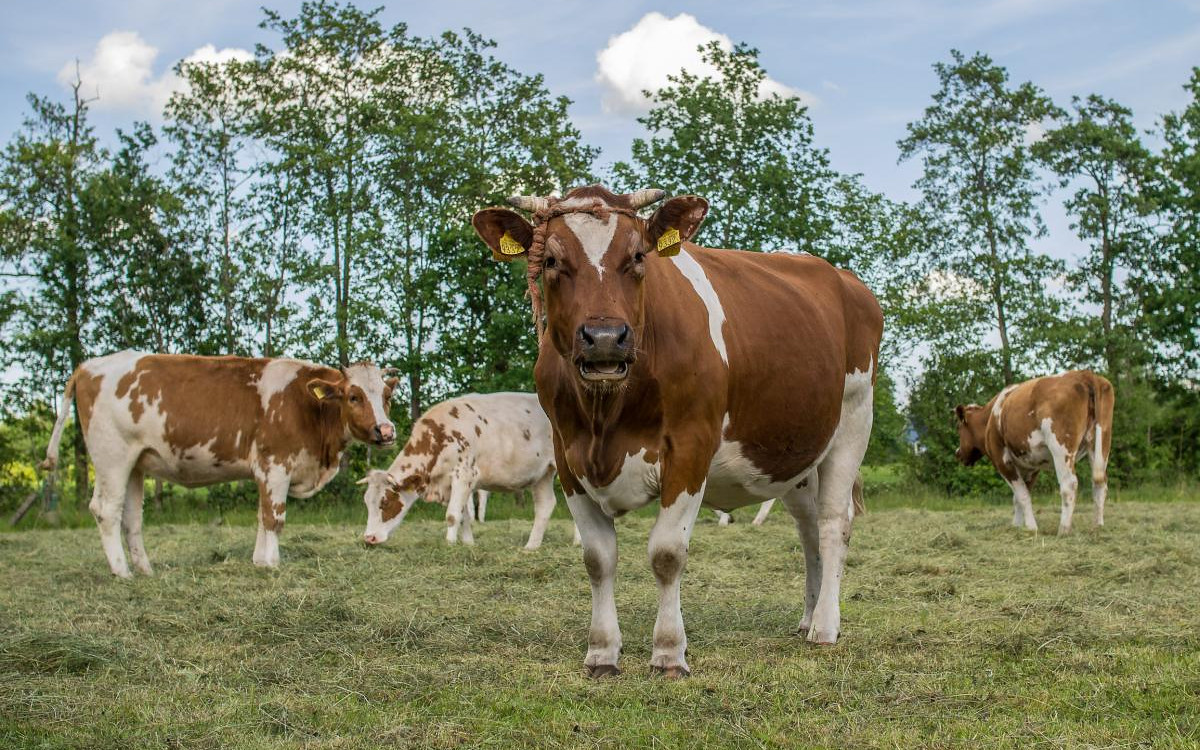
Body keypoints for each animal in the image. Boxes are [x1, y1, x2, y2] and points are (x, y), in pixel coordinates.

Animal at [41, 351, 397, 577]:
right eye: (353, 396)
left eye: (386, 397)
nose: (386, 430)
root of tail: (89, 365)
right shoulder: (275, 464)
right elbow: (274, 517)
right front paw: (272, 564)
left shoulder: (264, 471)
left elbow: (261, 516)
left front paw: (259, 561)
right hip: (112, 457)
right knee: (106, 511)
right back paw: (121, 572)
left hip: (135, 464)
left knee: (131, 518)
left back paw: (144, 570)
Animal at [359, 392, 572, 550]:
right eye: (367, 502)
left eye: (385, 502)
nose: (369, 538)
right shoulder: (453, 485)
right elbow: (464, 515)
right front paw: (468, 544)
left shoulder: (464, 475)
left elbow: (453, 515)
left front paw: (449, 545)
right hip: (542, 475)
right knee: (545, 505)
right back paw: (531, 547)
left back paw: (577, 542)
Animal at [472, 185, 883, 678]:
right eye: (551, 260)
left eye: (638, 256)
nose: (605, 338)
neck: (607, 417)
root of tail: (843, 278)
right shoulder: (568, 458)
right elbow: (597, 559)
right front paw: (602, 652)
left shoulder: (690, 448)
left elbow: (667, 554)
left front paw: (668, 653)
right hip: (796, 453)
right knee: (806, 530)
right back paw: (807, 616)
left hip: (854, 419)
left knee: (833, 523)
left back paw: (825, 626)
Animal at [954, 370, 1114, 535]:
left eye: (958, 427)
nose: (957, 453)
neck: (990, 418)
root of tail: (1085, 374)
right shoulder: (1031, 465)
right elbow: (1018, 497)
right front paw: (1017, 525)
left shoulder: (1002, 460)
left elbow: (1022, 495)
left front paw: (1031, 528)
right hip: (1101, 443)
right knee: (1100, 484)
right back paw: (1097, 526)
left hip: (1060, 447)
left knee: (1069, 484)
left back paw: (1063, 530)